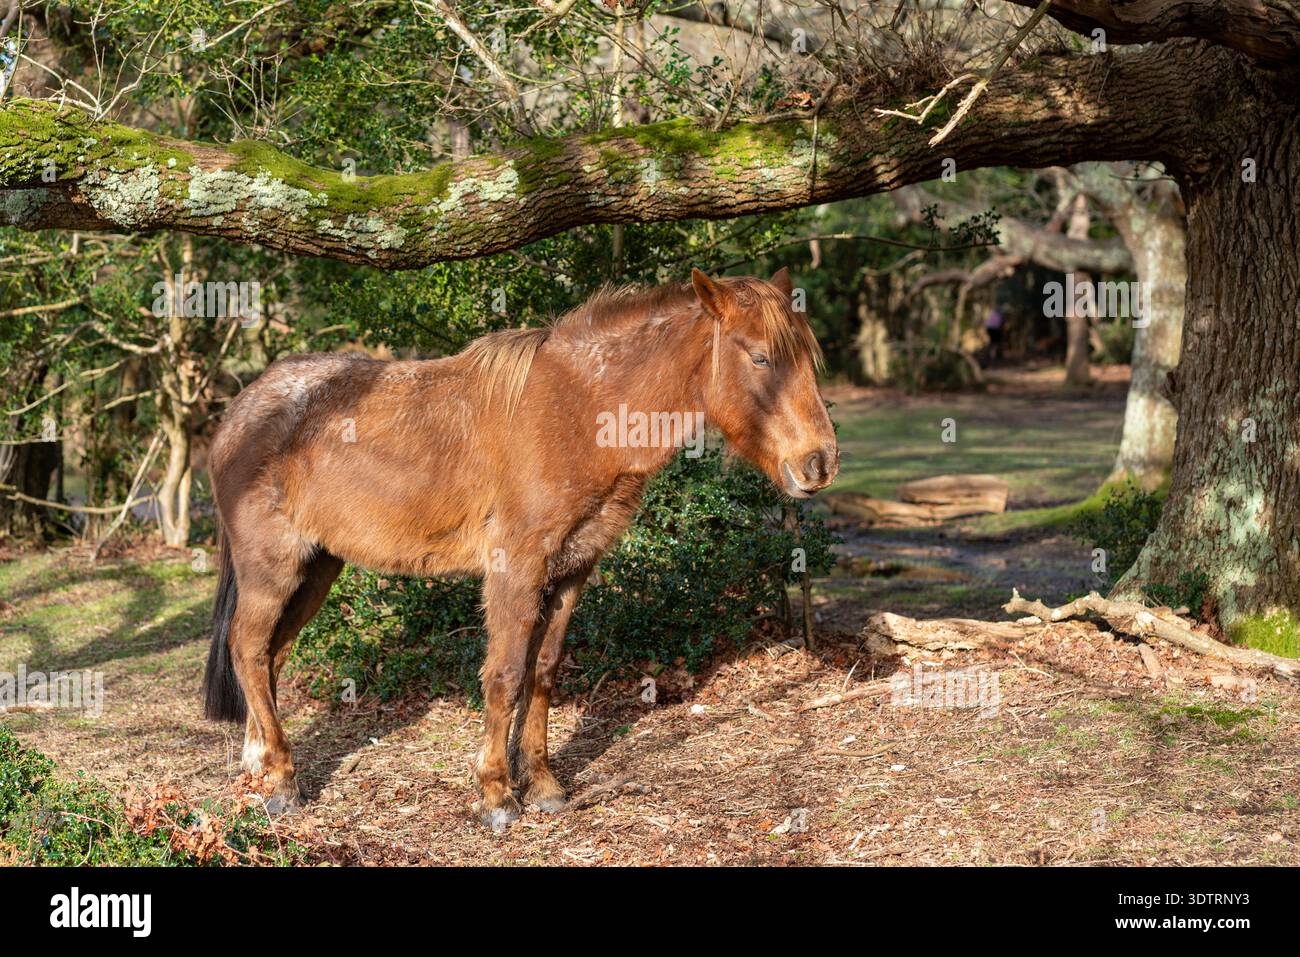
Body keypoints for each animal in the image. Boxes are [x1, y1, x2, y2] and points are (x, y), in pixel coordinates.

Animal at [201, 267, 839, 831]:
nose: (820, 463)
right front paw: (497, 795)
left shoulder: (573, 570)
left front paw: (543, 783)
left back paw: (259, 766)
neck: (579, 409)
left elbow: (544, 672)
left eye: (810, 359)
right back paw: (283, 781)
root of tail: (240, 410)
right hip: (272, 569)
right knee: (249, 649)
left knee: (271, 656)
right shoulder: (516, 571)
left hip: (316, 568)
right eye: (760, 358)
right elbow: (505, 675)